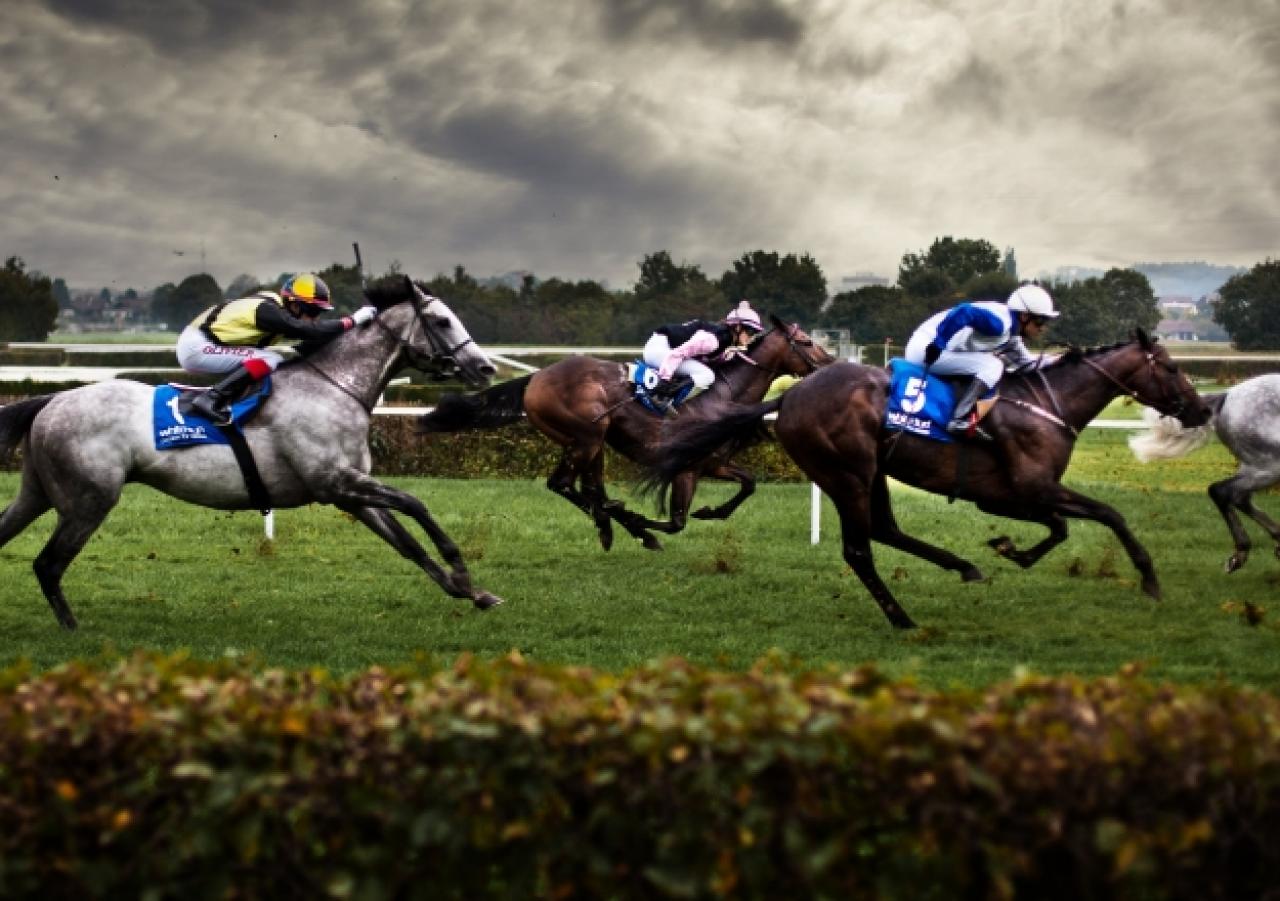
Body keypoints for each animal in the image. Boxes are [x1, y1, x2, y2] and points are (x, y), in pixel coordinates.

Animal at [0, 271, 499, 629]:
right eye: (442, 321)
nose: (485, 367)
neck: (333, 387)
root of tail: (52, 399)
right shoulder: (334, 481)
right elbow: (416, 504)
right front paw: (461, 568)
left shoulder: (350, 492)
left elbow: (407, 543)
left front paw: (472, 592)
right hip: (89, 499)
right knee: (48, 564)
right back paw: (72, 629)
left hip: (38, 493)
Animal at [424, 317, 834, 555]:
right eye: (807, 342)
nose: (832, 366)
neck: (724, 396)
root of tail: (537, 377)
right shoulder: (685, 468)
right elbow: (676, 522)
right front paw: (645, 525)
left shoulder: (711, 463)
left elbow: (748, 484)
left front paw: (710, 511)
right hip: (587, 435)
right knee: (564, 484)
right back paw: (619, 523)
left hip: (593, 444)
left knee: (590, 489)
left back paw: (609, 526)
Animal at [650, 327, 1208, 629]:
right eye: (1172, 368)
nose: (1202, 409)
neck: (1048, 404)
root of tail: (787, 397)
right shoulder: (1030, 488)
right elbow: (1107, 514)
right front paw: (1150, 580)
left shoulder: (1008, 496)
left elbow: (1061, 526)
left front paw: (1010, 550)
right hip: (847, 472)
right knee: (859, 549)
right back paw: (901, 616)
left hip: (871, 471)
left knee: (885, 530)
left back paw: (963, 566)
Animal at [1131, 371, 1280, 570]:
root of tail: (1228, 394)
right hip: (1270, 466)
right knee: (1222, 491)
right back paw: (1241, 553)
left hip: (1254, 466)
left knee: (1238, 497)